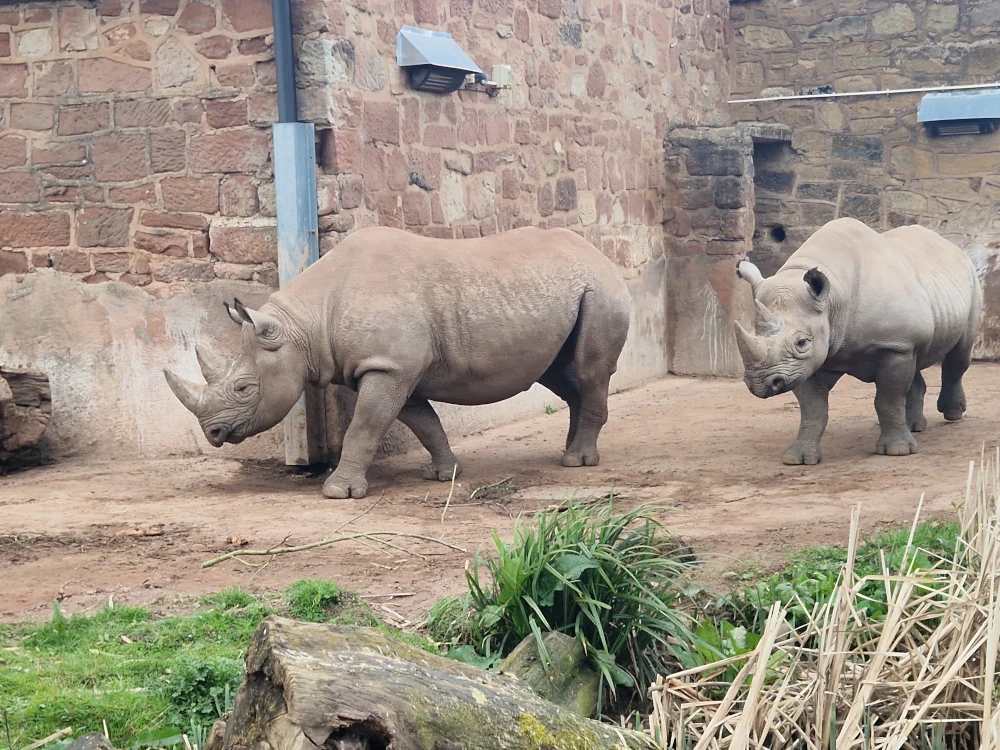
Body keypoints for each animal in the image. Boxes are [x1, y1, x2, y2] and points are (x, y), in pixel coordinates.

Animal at [164, 226, 632, 498]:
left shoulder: (387, 366)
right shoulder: (392, 368)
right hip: (565, 292)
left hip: (601, 291)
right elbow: (422, 422)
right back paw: (571, 452)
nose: (214, 433)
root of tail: (604, 257)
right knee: (558, 374)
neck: (304, 324)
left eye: (245, 387)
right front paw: (444, 475)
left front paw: (338, 493)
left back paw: (577, 462)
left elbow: (365, 426)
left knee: (589, 371)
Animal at [734, 217, 982, 464]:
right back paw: (914, 427)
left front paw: (897, 450)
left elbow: (888, 399)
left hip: (970, 281)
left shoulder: (895, 344)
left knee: (959, 356)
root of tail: (952, 247)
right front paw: (799, 458)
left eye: (802, 342)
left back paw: (952, 414)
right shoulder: (805, 363)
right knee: (918, 360)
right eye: (755, 332)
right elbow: (813, 408)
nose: (760, 384)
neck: (833, 299)